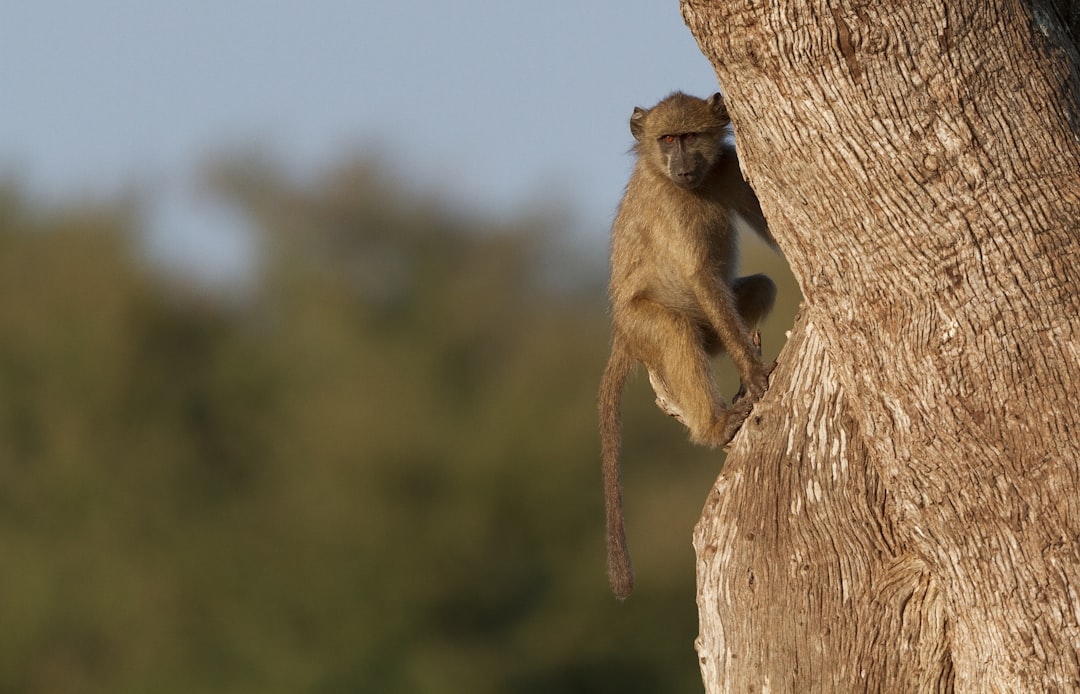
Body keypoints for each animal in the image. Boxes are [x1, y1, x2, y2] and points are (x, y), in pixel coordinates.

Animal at [599, 92, 778, 599]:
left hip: (705, 328)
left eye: (691, 136)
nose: (681, 166)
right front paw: (754, 374)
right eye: (667, 139)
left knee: (759, 289)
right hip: (642, 323)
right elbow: (699, 274)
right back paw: (715, 425)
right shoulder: (673, 206)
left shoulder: (728, 167)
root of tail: (620, 335)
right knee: (676, 331)